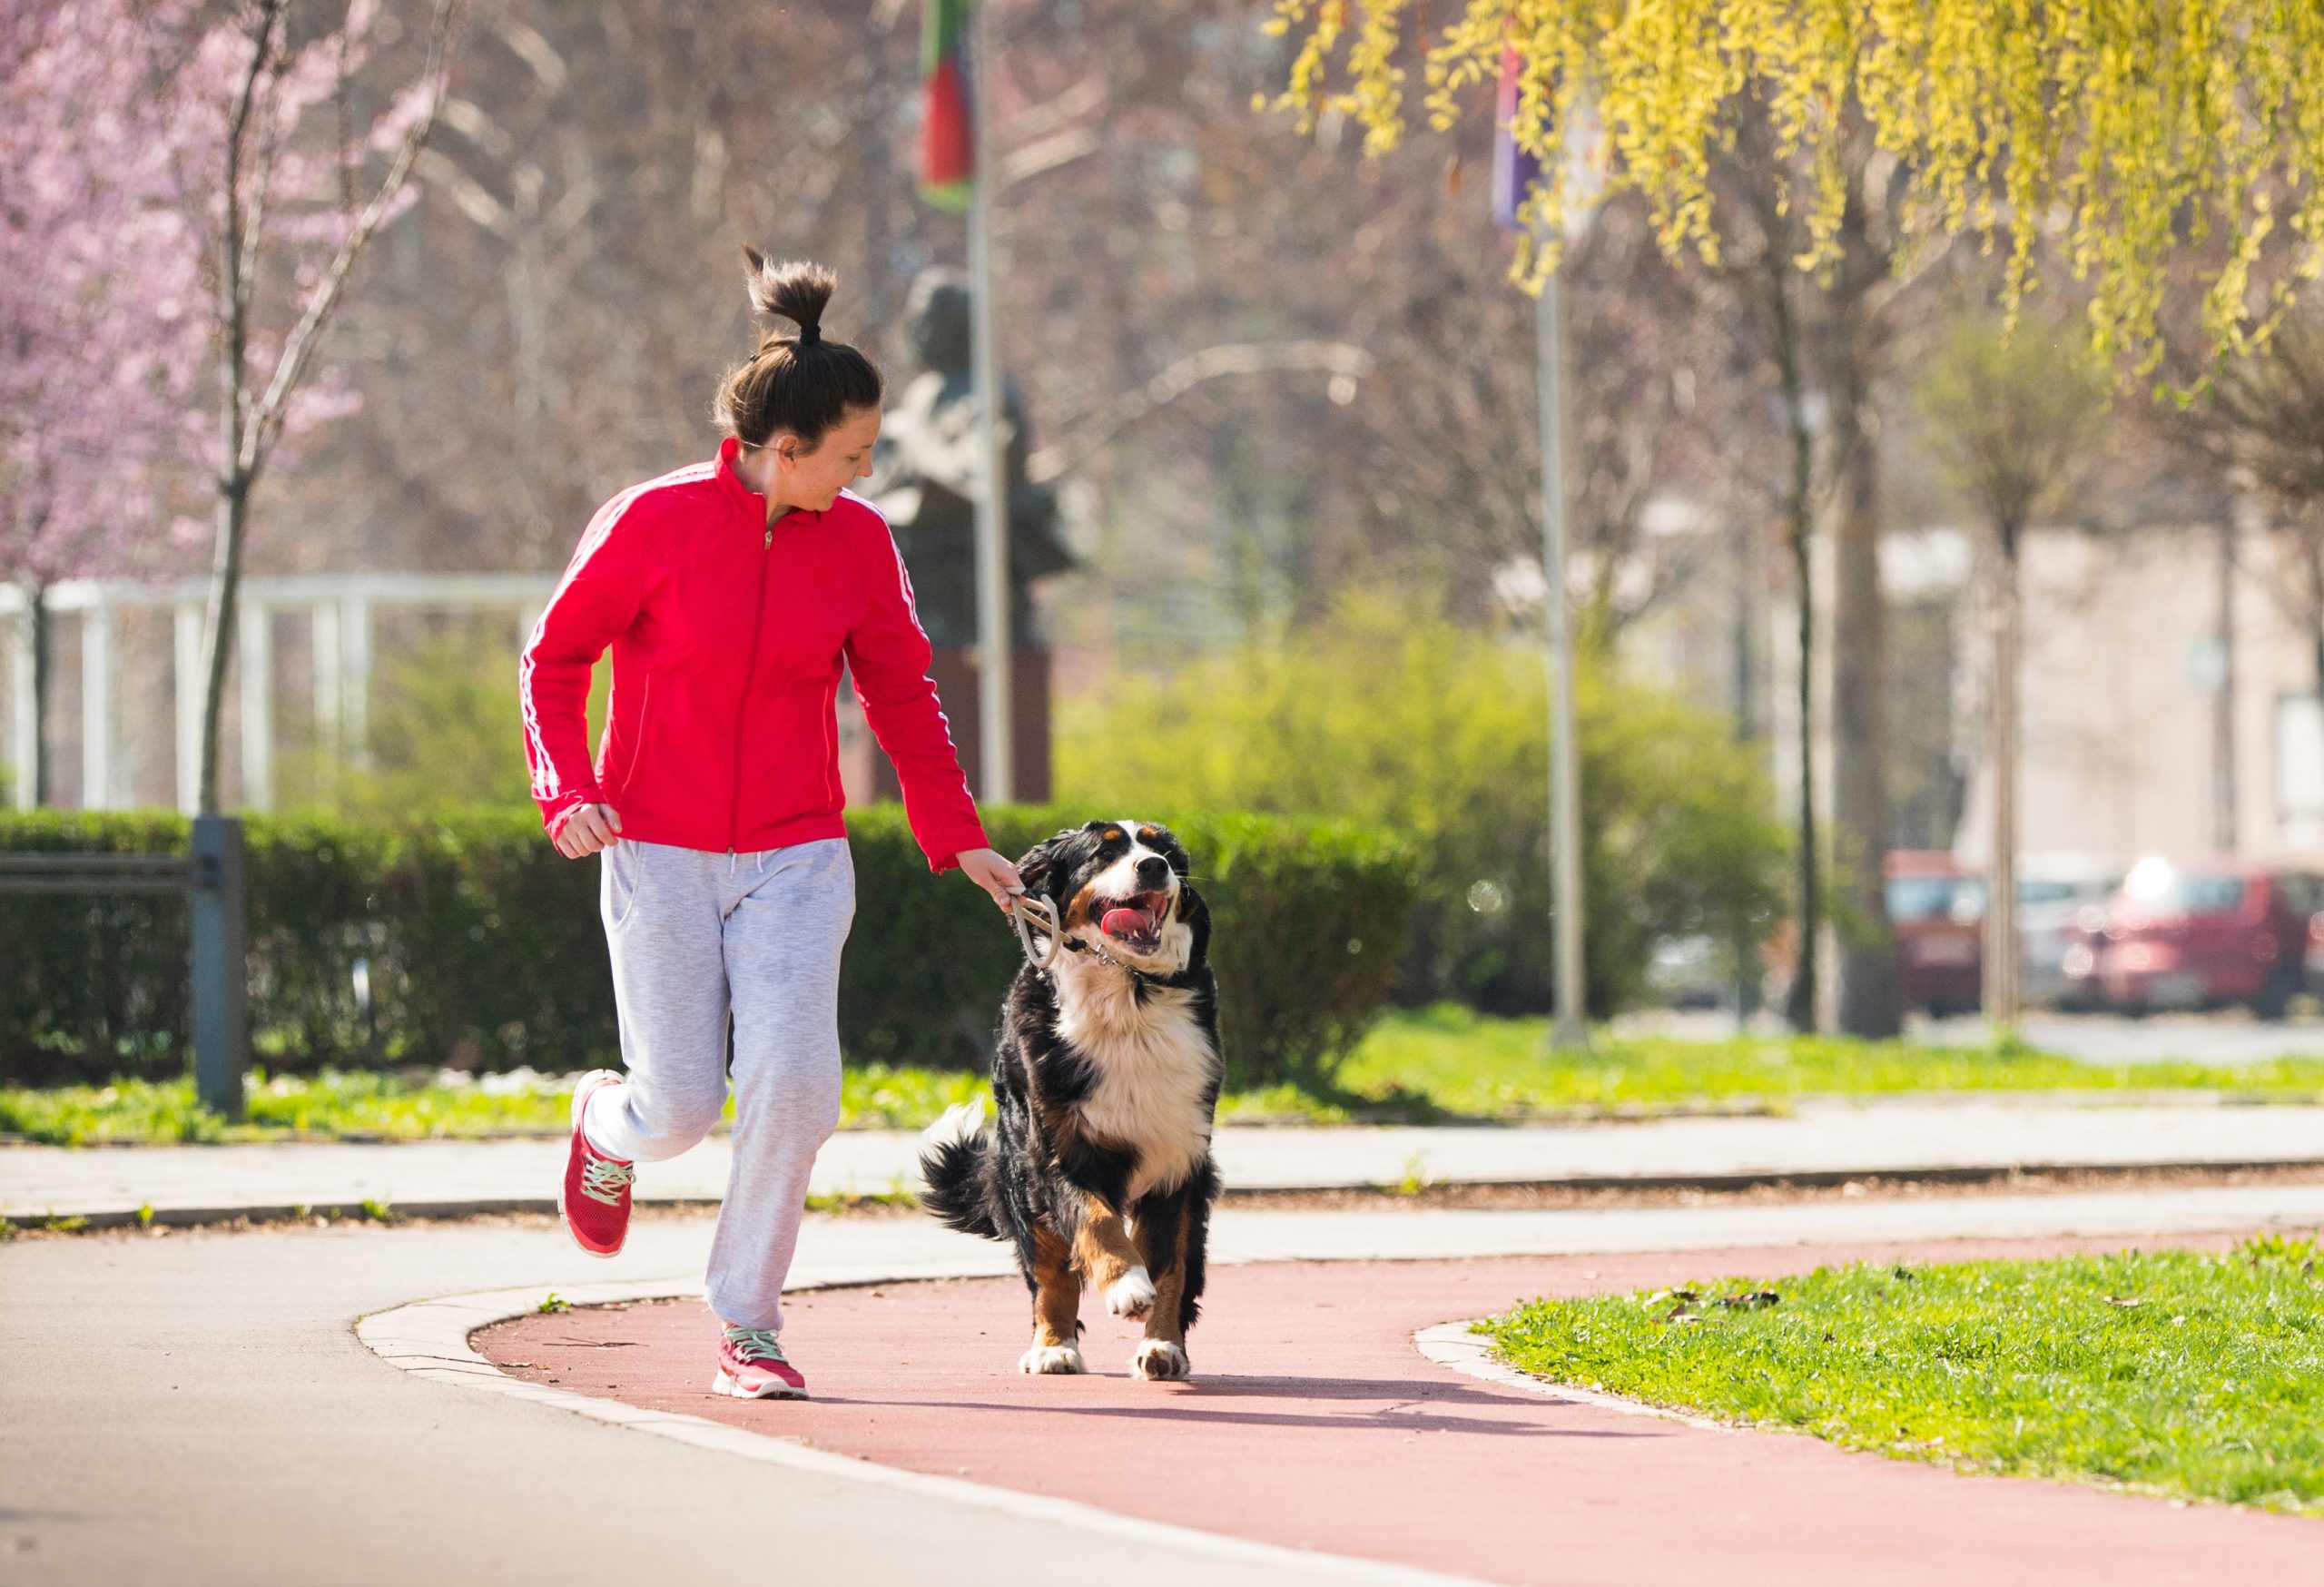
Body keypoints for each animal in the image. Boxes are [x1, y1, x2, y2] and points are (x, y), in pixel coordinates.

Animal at [915, 817, 1226, 1375]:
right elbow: (1096, 1223)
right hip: (1020, 1180)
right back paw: (1053, 1347)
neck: (1128, 994)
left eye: (1166, 853)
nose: (1154, 867)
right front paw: (1125, 1286)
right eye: (1105, 853)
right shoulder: (1056, 1151)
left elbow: (1166, 1264)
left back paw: (1162, 1350)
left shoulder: (1177, 1157)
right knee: (1049, 1273)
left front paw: (1158, 1335)